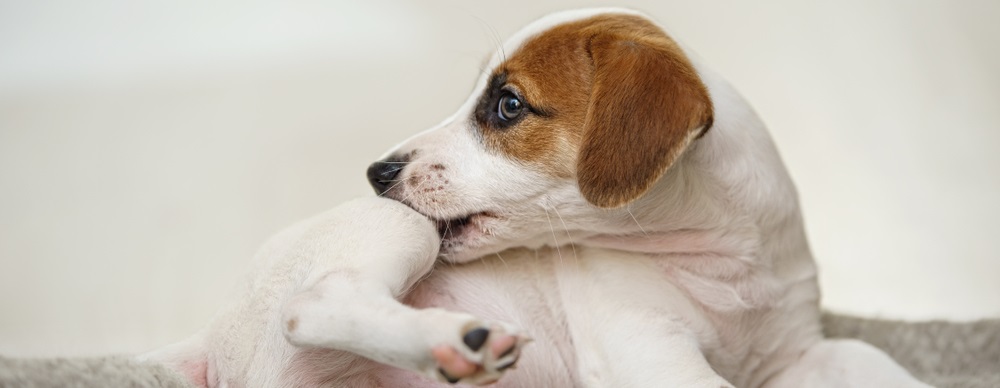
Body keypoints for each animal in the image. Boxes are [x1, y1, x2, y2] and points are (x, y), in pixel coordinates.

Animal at [146, 6, 928, 388]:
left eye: (508, 106)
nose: (378, 172)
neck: (719, 265)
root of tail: (214, 334)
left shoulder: (798, 356)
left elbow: (869, 361)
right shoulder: (646, 355)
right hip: (395, 234)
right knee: (315, 303)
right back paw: (456, 343)